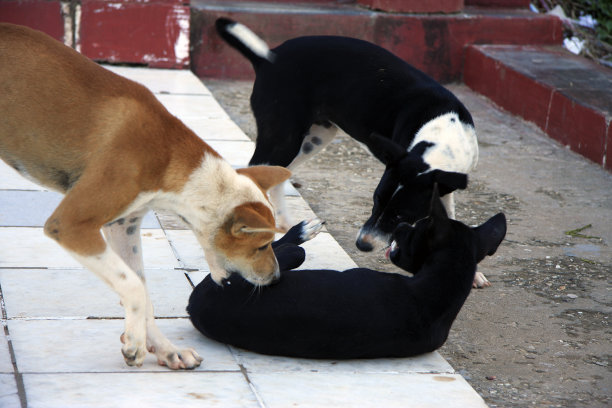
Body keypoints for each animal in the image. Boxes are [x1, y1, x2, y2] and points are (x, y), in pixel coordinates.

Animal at [0, 24, 292, 370]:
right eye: (261, 245)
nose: (276, 279)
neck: (168, 157)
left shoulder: (122, 226)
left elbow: (140, 286)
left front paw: (165, 348)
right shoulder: (71, 224)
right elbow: (134, 285)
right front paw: (136, 344)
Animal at [188, 190, 506, 358]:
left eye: (414, 230)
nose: (402, 227)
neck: (435, 297)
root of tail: (194, 307)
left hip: (231, 277)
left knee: (289, 250)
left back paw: (301, 232)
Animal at [215, 19, 478, 250]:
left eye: (401, 214)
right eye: (376, 200)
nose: (362, 244)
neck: (445, 134)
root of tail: (269, 57)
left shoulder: (443, 184)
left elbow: (448, 217)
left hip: (312, 140)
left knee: (277, 177)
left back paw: (286, 223)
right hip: (284, 139)